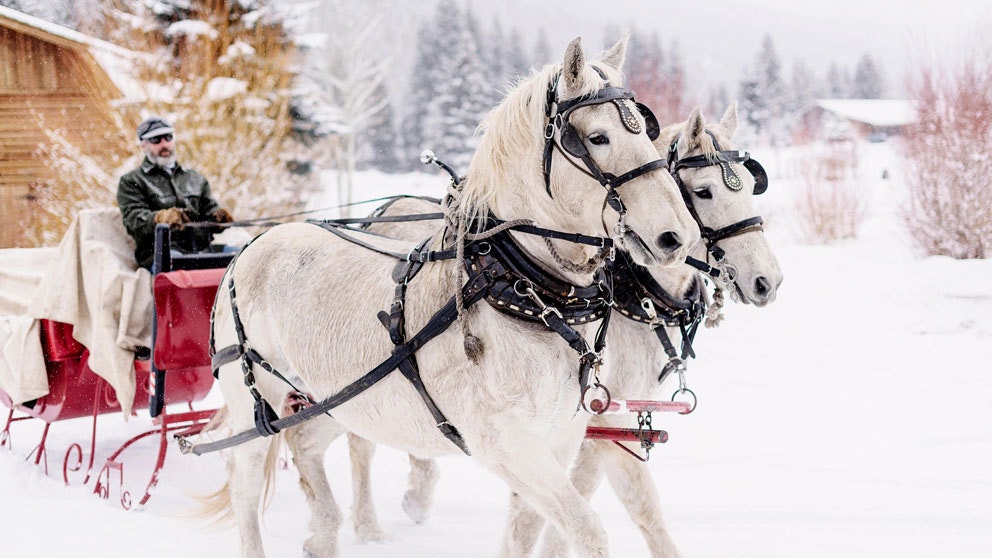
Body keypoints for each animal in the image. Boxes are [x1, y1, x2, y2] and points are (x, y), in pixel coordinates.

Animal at [198, 36, 696, 558]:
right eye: (598, 138)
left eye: (646, 133)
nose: (676, 236)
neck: (524, 291)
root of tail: (251, 246)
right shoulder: (506, 444)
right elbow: (585, 529)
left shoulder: (558, 438)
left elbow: (524, 533)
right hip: (256, 401)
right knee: (245, 483)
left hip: (340, 399)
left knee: (307, 447)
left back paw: (327, 532)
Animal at [348, 101, 784, 558]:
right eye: (703, 192)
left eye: (749, 187)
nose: (767, 281)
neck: (633, 289)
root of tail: (389, 208)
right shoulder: (596, 419)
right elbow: (596, 496)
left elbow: (641, 509)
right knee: (360, 439)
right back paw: (370, 525)